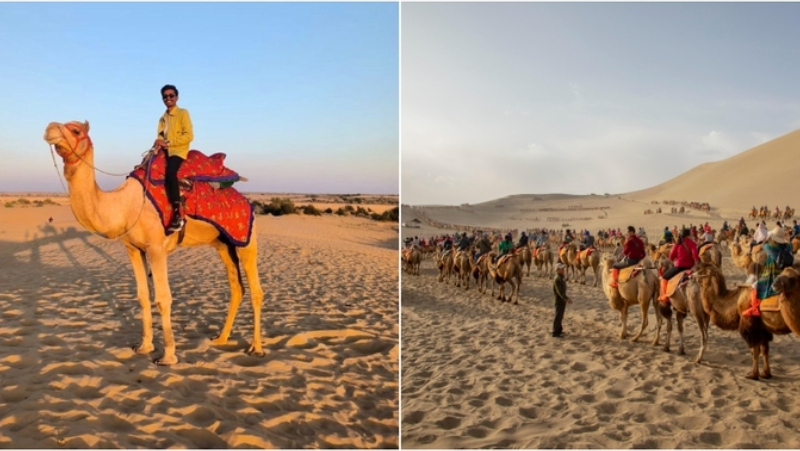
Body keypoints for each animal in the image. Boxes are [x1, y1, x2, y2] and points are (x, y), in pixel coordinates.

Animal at [43, 121, 264, 368]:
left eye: (76, 130)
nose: (49, 128)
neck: (125, 205)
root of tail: (246, 200)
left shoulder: (156, 248)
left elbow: (163, 298)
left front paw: (168, 356)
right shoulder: (133, 249)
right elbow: (142, 296)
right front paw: (144, 346)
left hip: (246, 238)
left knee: (256, 290)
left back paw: (256, 348)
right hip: (224, 244)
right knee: (236, 287)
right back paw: (221, 338)